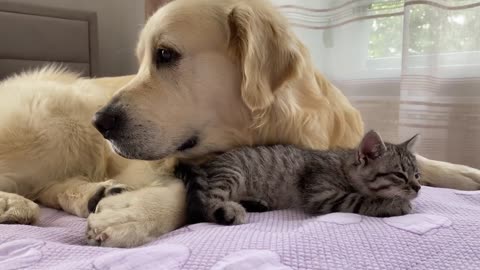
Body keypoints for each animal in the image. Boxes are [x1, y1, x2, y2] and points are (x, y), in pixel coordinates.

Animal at [175, 131, 420, 226]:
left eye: (417, 174)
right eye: (400, 175)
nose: (418, 187)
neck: (343, 165)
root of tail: (207, 164)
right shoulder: (321, 194)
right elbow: (359, 198)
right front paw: (393, 204)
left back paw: (256, 204)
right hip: (231, 173)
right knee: (206, 205)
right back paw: (229, 211)